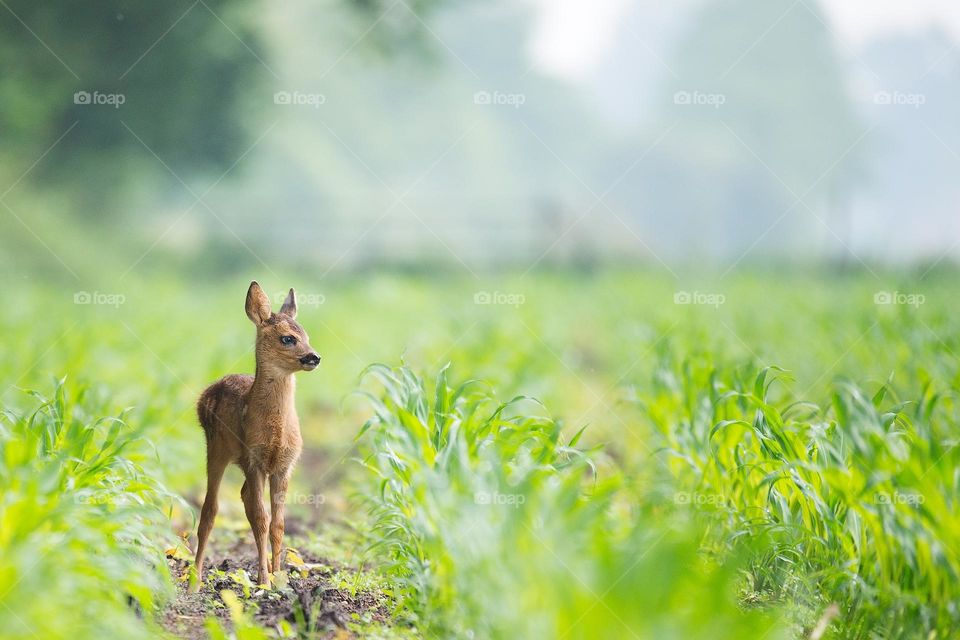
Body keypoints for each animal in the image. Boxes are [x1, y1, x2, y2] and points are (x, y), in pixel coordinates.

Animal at [191, 281, 321, 591]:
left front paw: (279, 577)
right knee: (210, 510)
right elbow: (262, 519)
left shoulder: (284, 465)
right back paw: (195, 579)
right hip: (216, 449)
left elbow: (278, 524)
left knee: (243, 499)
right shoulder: (254, 460)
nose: (314, 357)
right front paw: (264, 581)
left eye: (306, 335)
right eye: (287, 339)